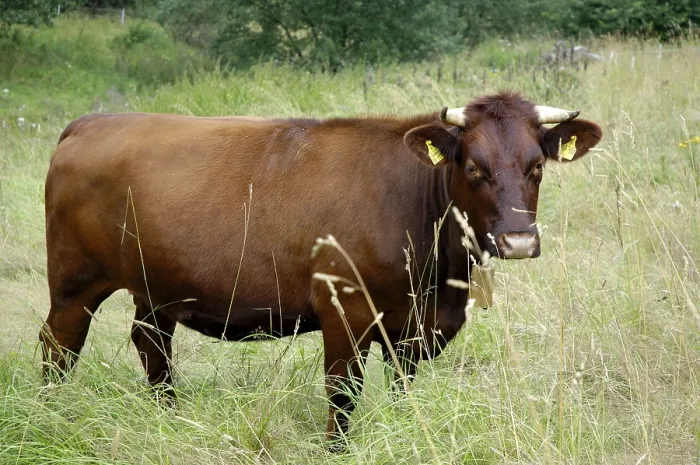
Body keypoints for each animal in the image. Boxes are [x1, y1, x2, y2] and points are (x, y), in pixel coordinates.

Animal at [40, 92, 601, 447]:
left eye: (537, 166)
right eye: (472, 166)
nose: (518, 240)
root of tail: (92, 121)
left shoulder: (412, 329)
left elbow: (401, 390)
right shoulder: (344, 309)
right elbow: (343, 392)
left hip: (155, 286)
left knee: (151, 342)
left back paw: (170, 416)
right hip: (74, 283)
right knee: (58, 346)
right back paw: (50, 416)